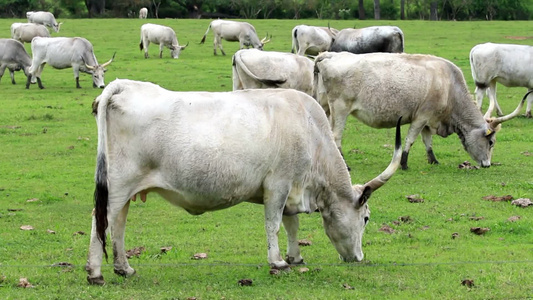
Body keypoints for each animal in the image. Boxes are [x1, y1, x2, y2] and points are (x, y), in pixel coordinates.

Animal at [312, 51, 524, 169]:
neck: (449, 86)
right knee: (336, 136)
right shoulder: (421, 117)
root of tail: (329, 54)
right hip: (340, 109)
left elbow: (427, 141)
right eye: (491, 142)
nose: (487, 165)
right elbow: (411, 139)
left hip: (324, 107)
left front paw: (433, 160)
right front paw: (404, 163)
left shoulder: (429, 120)